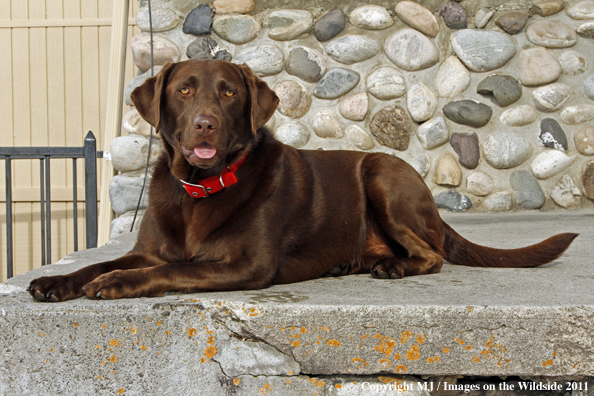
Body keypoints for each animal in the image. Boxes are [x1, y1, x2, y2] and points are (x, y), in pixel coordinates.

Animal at [26, 58, 572, 302]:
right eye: (183, 90)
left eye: (228, 93)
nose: (205, 123)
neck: (200, 188)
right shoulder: (151, 249)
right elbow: (102, 263)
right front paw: (59, 280)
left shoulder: (247, 266)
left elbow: (167, 271)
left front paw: (115, 283)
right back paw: (351, 263)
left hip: (383, 177)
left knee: (431, 253)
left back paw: (393, 266)